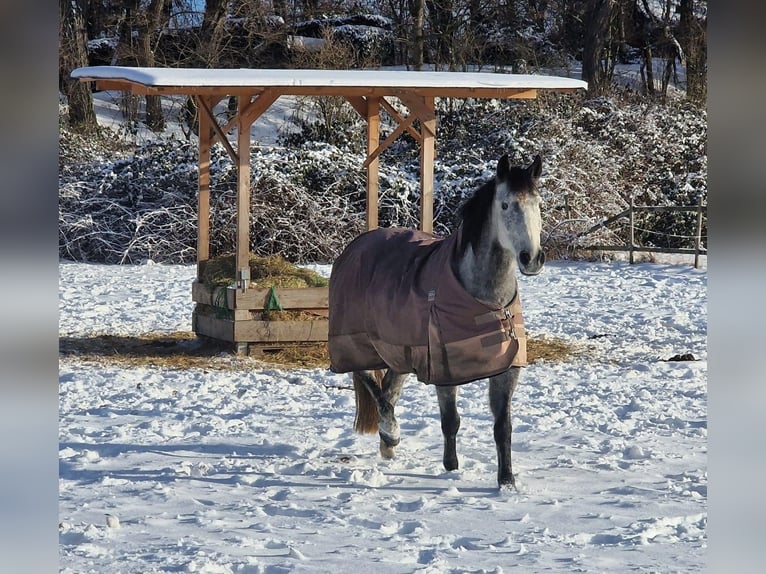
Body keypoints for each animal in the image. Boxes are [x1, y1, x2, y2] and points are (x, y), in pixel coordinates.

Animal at [327, 154, 544, 488]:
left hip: (398, 350)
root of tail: (357, 245)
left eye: (538, 203)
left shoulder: (506, 369)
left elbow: (503, 427)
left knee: (389, 390)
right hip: (355, 343)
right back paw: (391, 432)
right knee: (372, 385)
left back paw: (388, 446)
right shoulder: (444, 368)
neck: (487, 300)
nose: (531, 258)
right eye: (506, 205)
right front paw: (451, 468)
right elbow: (451, 420)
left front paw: (506, 481)